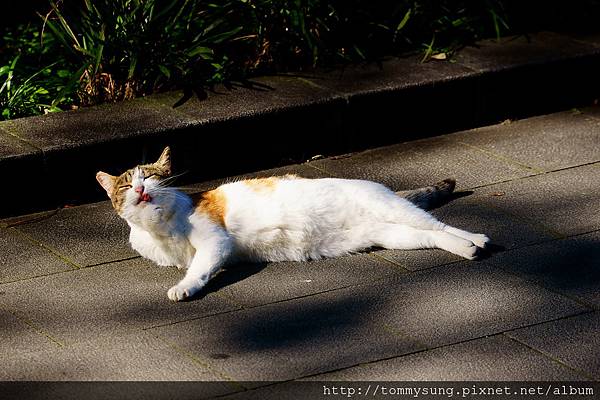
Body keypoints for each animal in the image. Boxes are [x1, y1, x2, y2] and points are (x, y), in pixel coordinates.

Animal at [98, 147, 490, 300]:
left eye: (150, 176)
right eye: (126, 185)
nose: (140, 188)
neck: (160, 227)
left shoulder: (215, 242)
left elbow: (198, 269)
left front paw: (185, 287)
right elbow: (191, 263)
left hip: (394, 210)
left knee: (440, 226)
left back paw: (477, 238)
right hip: (393, 235)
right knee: (430, 236)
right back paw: (466, 249)